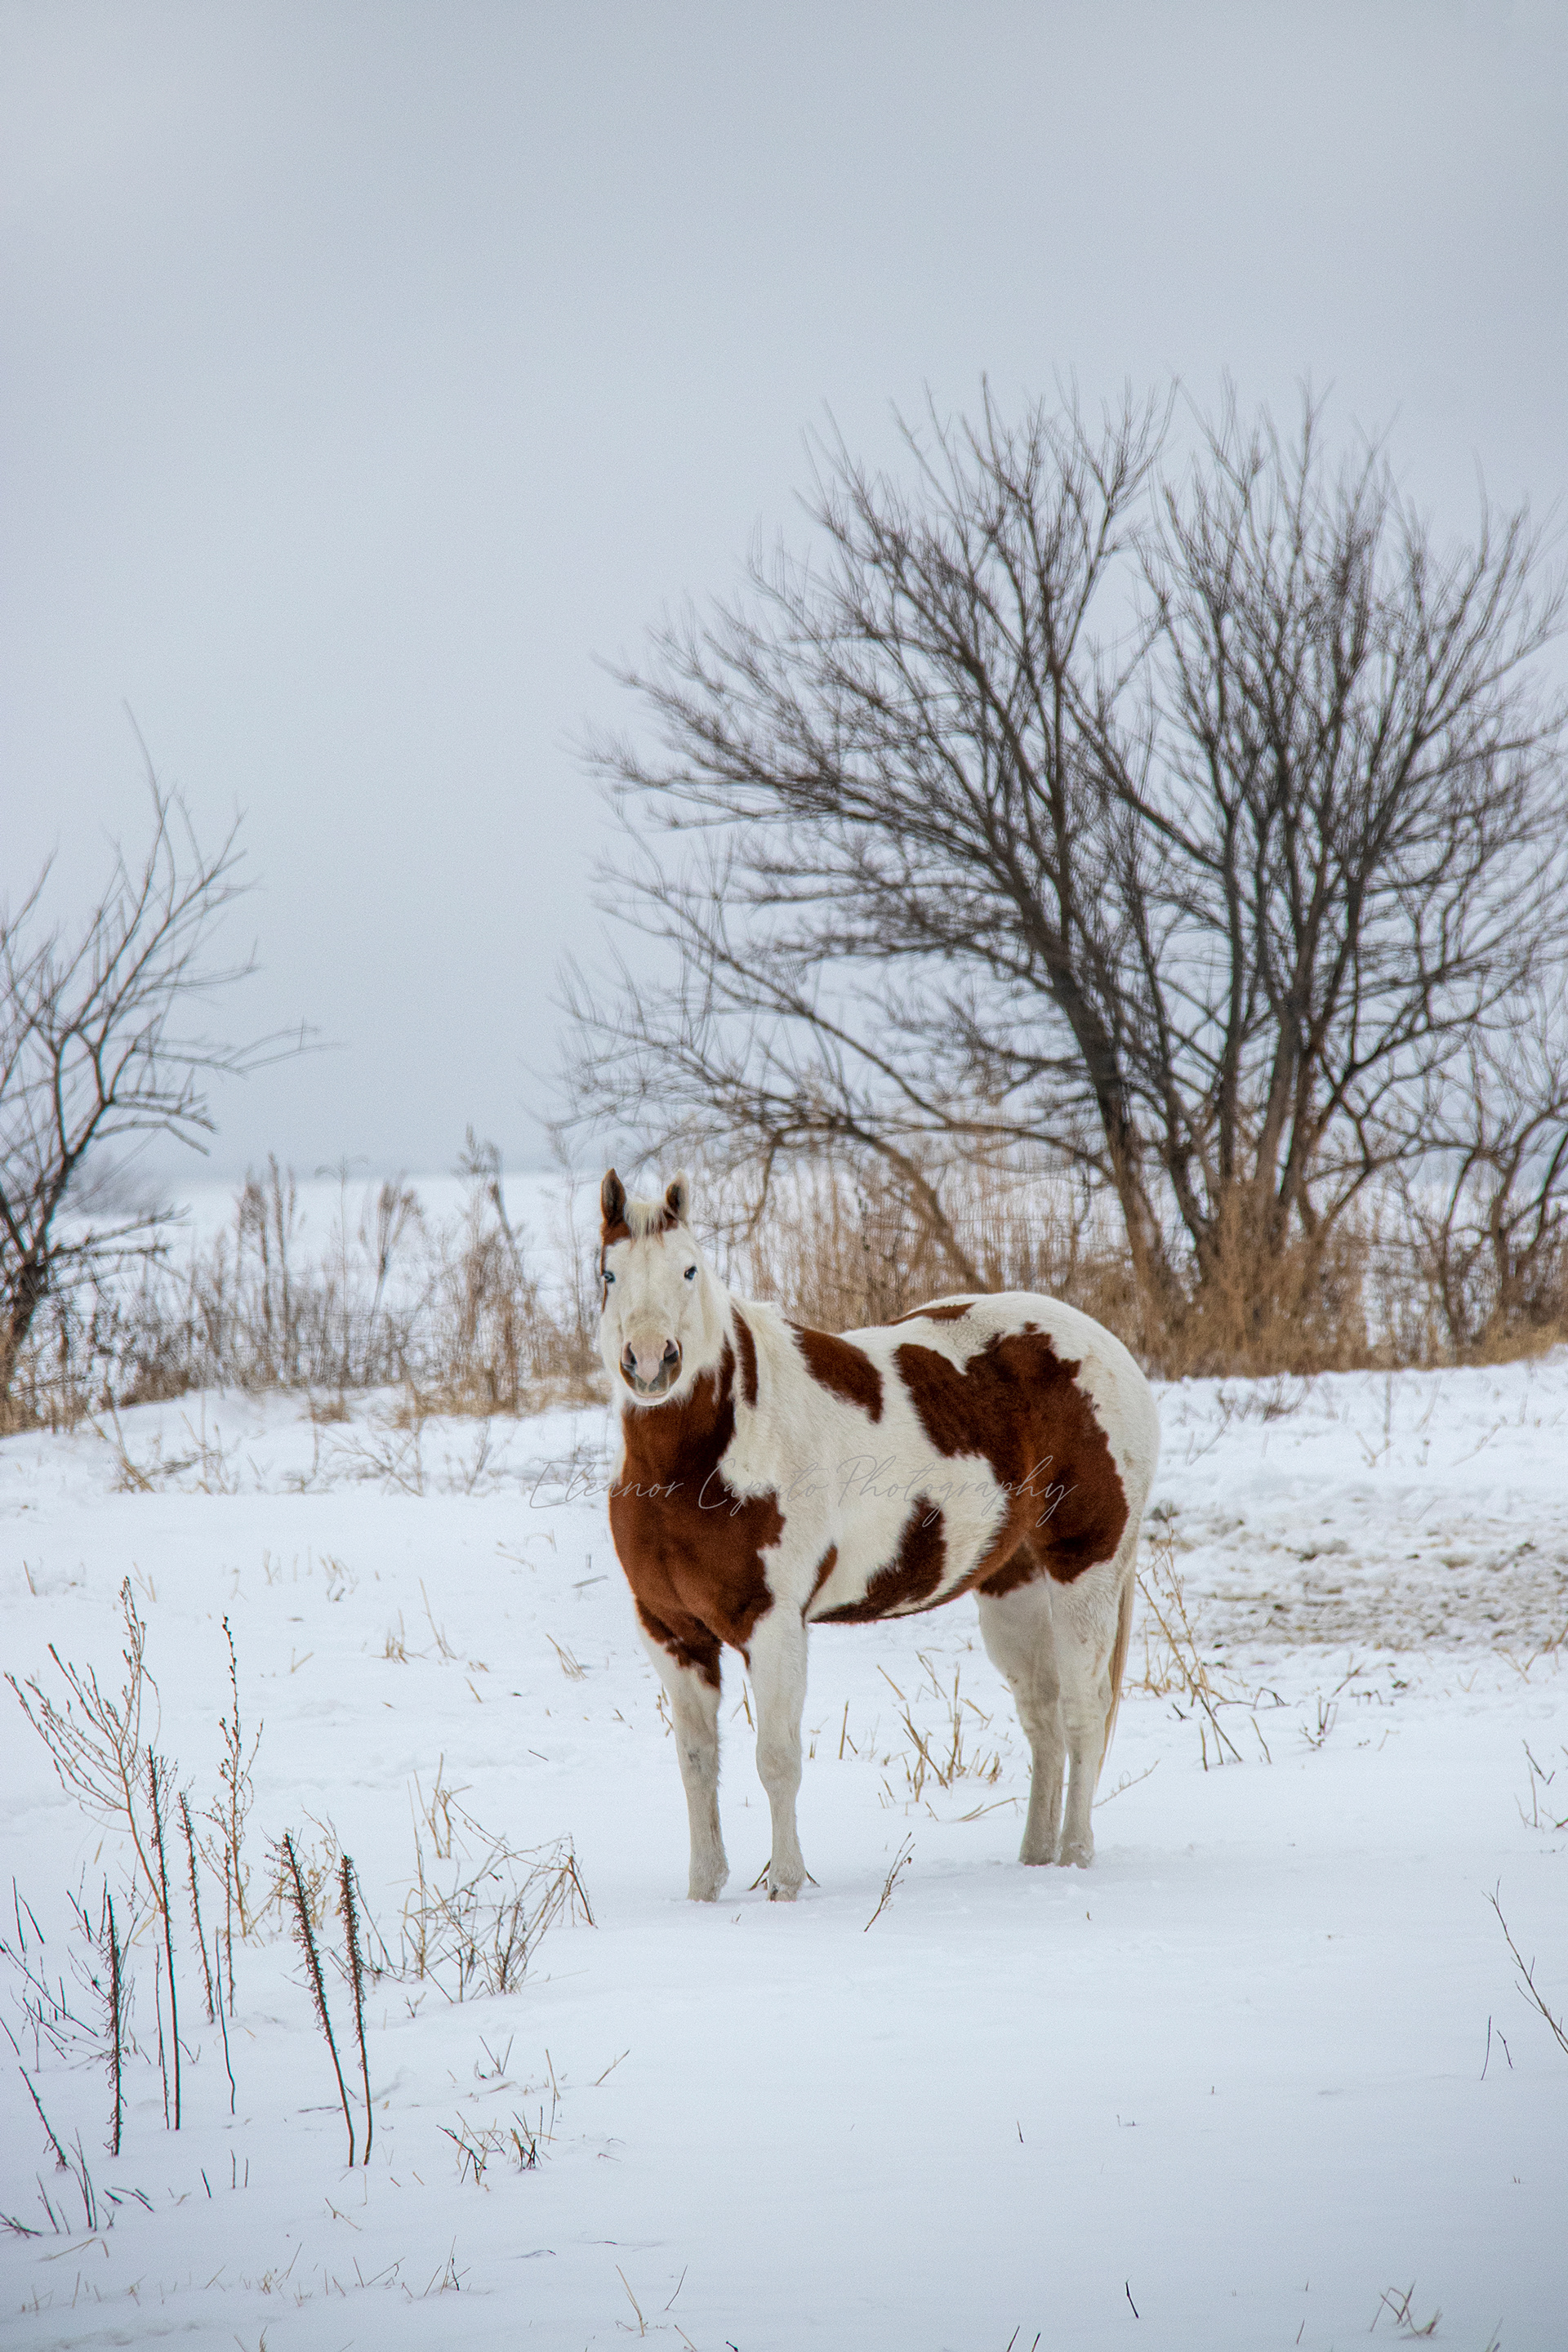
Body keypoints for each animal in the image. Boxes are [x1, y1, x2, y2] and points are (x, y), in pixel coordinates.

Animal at [596, 1169, 1161, 1900]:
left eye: (689, 1269)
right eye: (608, 1273)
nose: (650, 1363)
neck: (708, 1453)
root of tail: (1105, 1345)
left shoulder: (772, 1626)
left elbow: (776, 1760)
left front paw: (785, 1889)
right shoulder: (672, 1631)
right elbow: (697, 1764)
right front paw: (702, 1894)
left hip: (1085, 1568)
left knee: (1083, 1713)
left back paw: (1072, 1860)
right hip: (1014, 1583)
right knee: (1042, 1717)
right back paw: (1035, 1857)